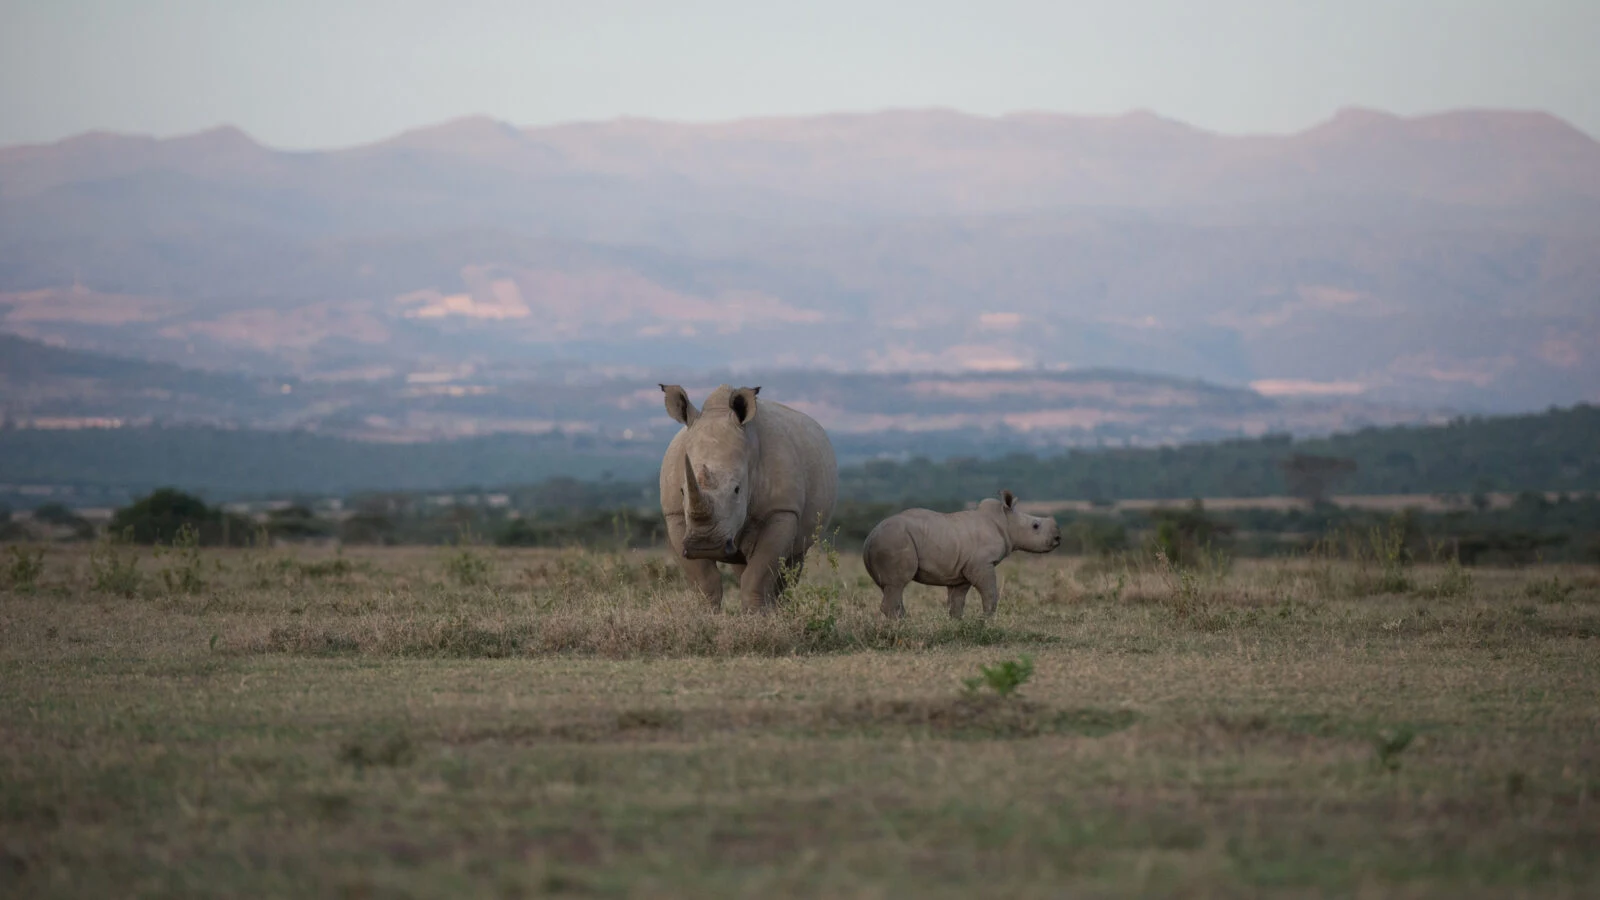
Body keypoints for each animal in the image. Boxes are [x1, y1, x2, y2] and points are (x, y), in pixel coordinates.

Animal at [658, 383, 838, 612]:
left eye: (737, 489)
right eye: (682, 491)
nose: (705, 545)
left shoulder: (782, 510)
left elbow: (758, 574)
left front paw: (758, 616)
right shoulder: (675, 515)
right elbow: (704, 580)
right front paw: (703, 614)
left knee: (793, 560)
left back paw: (780, 609)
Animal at [862, 490, 1061, 619]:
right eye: (1035, 526)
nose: (1058, 538)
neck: (1005, 522)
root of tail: (870, 536)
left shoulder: (962, 572)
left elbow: (957, 602)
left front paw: (957, 625)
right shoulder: (981, 564)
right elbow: (990, 593)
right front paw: (987, 621)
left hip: (887, 541)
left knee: (889, 587)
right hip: (895, 541)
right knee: (897, 585)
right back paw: (902, 626)